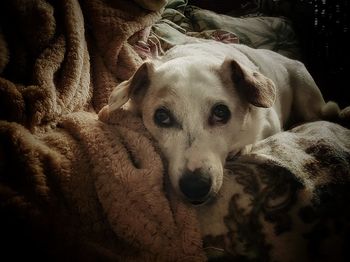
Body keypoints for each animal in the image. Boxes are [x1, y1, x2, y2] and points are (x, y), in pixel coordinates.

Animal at [108, 41, 344, 205]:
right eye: (161, 116)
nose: (195, 187)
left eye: (221, 112)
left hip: (307, 95)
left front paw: (241, 147)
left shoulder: (271, 124)